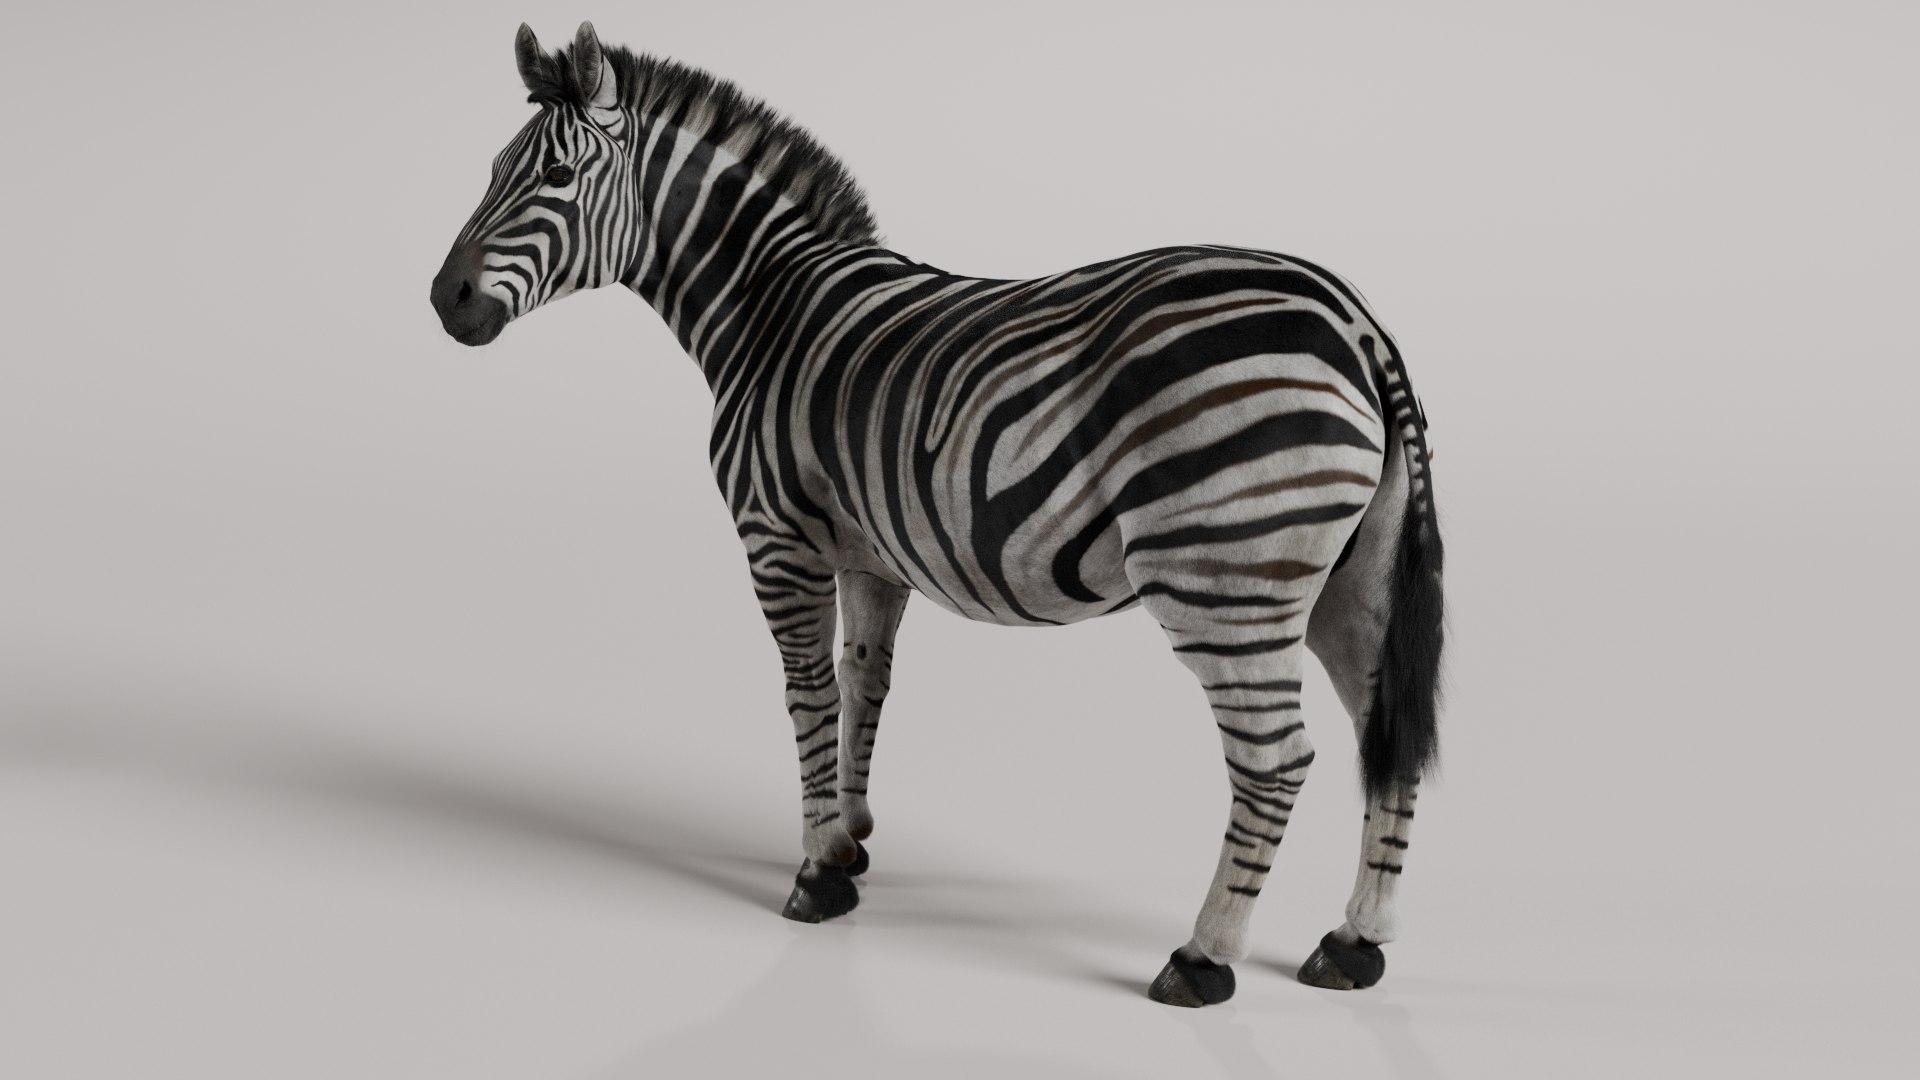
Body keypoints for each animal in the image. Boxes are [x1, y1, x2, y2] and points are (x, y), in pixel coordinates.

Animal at [430, 22, 1444, 1007]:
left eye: (557, 178)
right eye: (493, 169)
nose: (445, 299)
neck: (766, 307)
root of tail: (1357, 324)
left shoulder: (778, 538)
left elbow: (807, 688)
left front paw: (813, 875)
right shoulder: (869, 552)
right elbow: (864, 680)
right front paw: (849, 840)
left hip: (1222, 579)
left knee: (1276, 761)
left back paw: (1203, 958)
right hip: (1345, 584)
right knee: (1383, 734)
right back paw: (1357, 942)